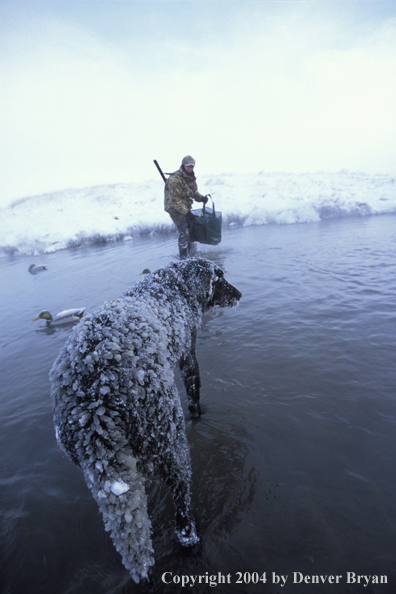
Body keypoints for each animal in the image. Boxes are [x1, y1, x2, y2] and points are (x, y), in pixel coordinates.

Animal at [49, 256, 241, 580]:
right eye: (220, 278)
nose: (239, 295)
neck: (172, 285)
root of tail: (93, 400)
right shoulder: (188, 354)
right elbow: (194, 392)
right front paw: (199, 414)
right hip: (169, 440)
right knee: (181, 506)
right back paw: (189, 537)